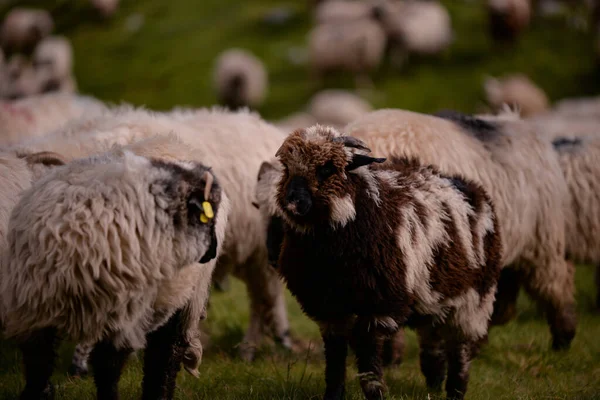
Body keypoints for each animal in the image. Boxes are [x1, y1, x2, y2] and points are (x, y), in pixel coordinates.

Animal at [272, 126, 502, 400]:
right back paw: (435, 383)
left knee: (460, 351)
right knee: (433, 340)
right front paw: (334, 395)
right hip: (434, 297)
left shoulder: (378, 306)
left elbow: (369, 360)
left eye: (328, 168)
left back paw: (455, 391)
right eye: (286, 168)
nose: (292, 202)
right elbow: (335, 359)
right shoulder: (329, 307)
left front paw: (376, 394)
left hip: (474, 300)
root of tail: (470, 186)